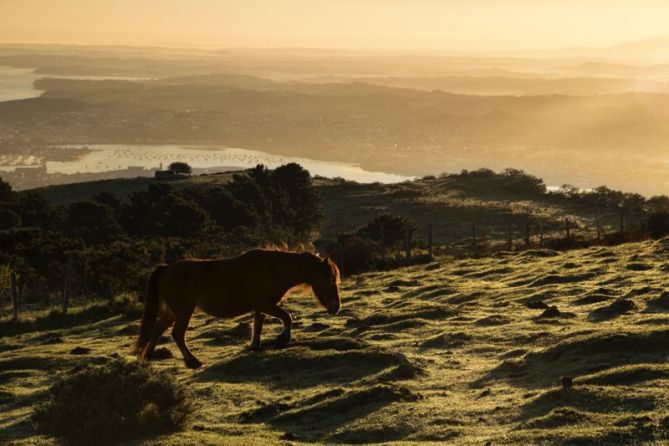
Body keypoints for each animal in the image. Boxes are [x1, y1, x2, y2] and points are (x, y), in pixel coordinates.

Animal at [132, 249, 340, 368]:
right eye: (330, 281)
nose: (336, 308)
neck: (273, 268)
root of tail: (167, 269)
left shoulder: (261, 306)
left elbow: (258, 325)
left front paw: (255, 346)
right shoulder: (265, 304)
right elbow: (287, 317)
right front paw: (282, 339)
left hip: (172, 312)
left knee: (157, 329)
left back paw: (147, 357)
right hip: (184, 311)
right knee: (177, 334)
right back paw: (192, 361)